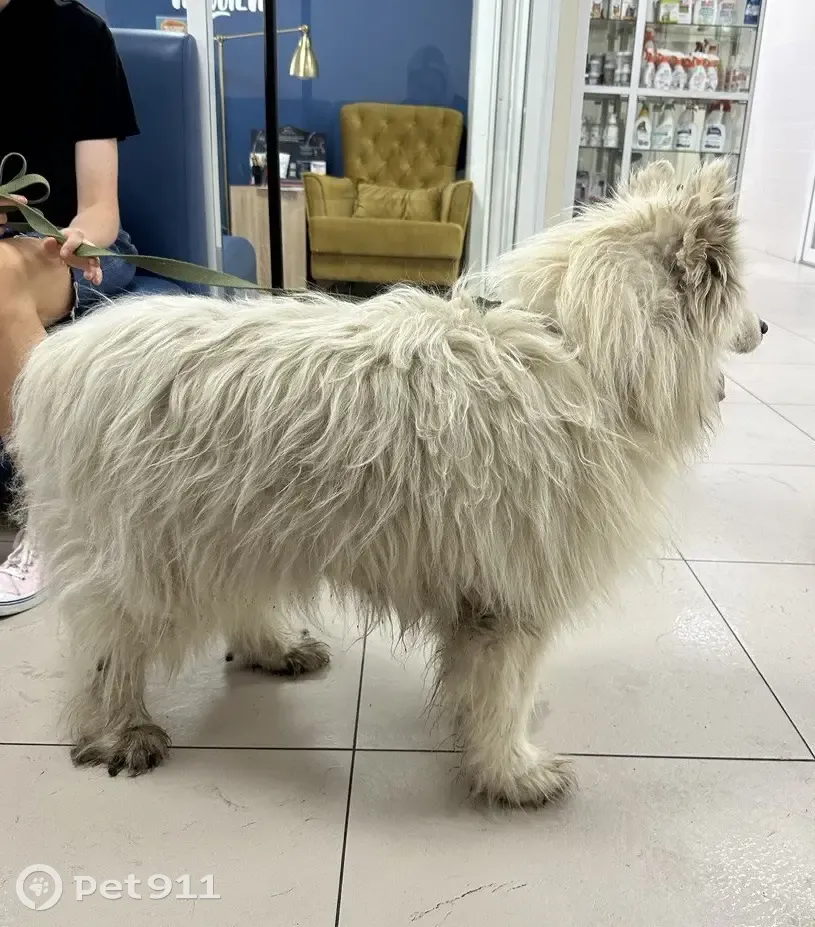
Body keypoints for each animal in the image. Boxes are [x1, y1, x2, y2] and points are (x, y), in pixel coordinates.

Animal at [9, 160, 764, 805]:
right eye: (739, 295)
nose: (762, 324)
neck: (578, 344)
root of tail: (60, 354)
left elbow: (484, 689)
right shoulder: (511, 594)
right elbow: (503, 692)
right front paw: (511, 769)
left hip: (235, 527)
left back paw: (271, 647)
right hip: (147, 550)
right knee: (109, 645)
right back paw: (120, 727)